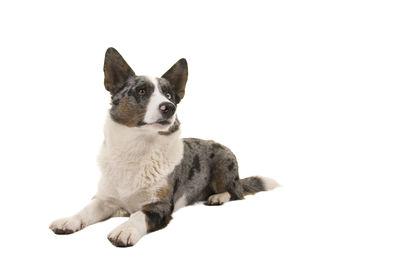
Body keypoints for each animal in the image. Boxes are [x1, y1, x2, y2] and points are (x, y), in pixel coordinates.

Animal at [49, 47, 278, 247]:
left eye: (169, 96)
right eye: (141, 91)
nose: (169, 107)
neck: (137, 149)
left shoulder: (160, 206)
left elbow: (139, 215)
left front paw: (125, 229)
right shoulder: (104, 199)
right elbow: (86, 210)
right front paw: (69, 220)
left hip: (224, 164)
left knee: (235, 192)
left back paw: (218, 196)